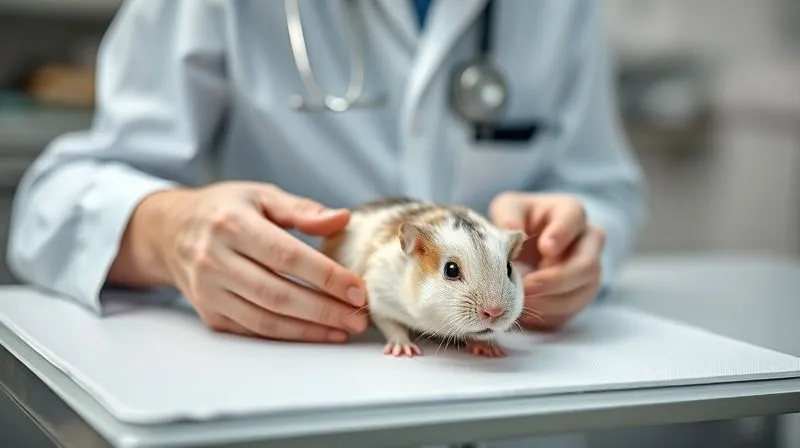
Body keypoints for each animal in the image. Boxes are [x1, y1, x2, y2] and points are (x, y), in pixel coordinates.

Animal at [321, 197, 527, 358]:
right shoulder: (379, 298)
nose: (495, 312)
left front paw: (492, 350)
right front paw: (405, 351)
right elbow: (390, 324)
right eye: (451, 270)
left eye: (509, 268)